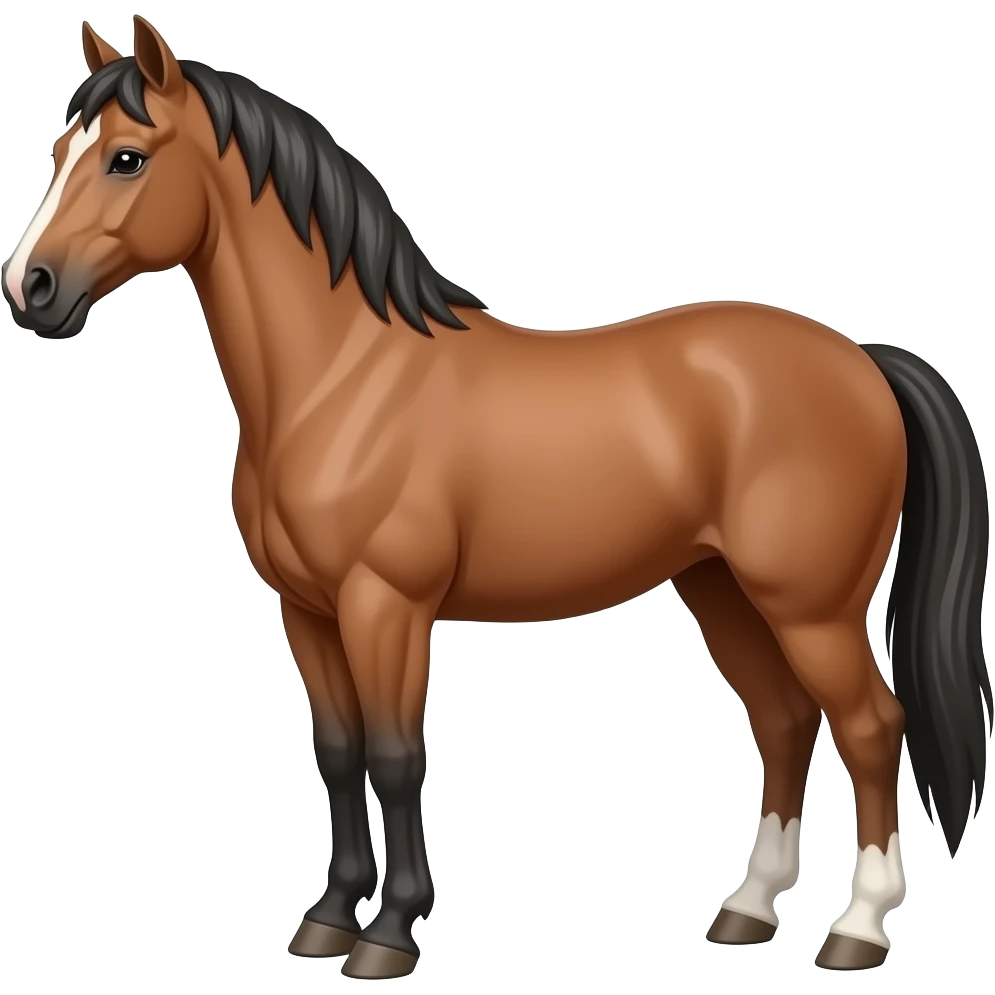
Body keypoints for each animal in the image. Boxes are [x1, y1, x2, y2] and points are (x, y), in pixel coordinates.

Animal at [3, 15, 990, 979]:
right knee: (784, 723)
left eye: (127, 157)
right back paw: (747, 911)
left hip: (810, 607)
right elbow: (338, 755)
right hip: (722, 590)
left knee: (870, 728)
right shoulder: (306, 611)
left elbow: (397, 757)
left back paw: (857, 928)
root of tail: (862, 358)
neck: (343, 378)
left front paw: (388, 934)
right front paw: (327, 919)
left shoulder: (385, 605)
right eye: (56, 150)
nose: (30, 288)